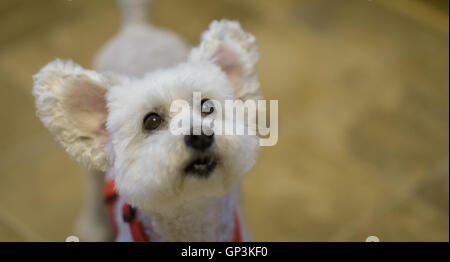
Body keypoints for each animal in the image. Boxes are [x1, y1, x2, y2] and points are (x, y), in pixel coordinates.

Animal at [31, 0, 260, 242]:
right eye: (151, 121)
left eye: (208, 107)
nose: (200, 136)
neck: (193, 221)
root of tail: (137, 27)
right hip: (93, 174)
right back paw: (92, 224)